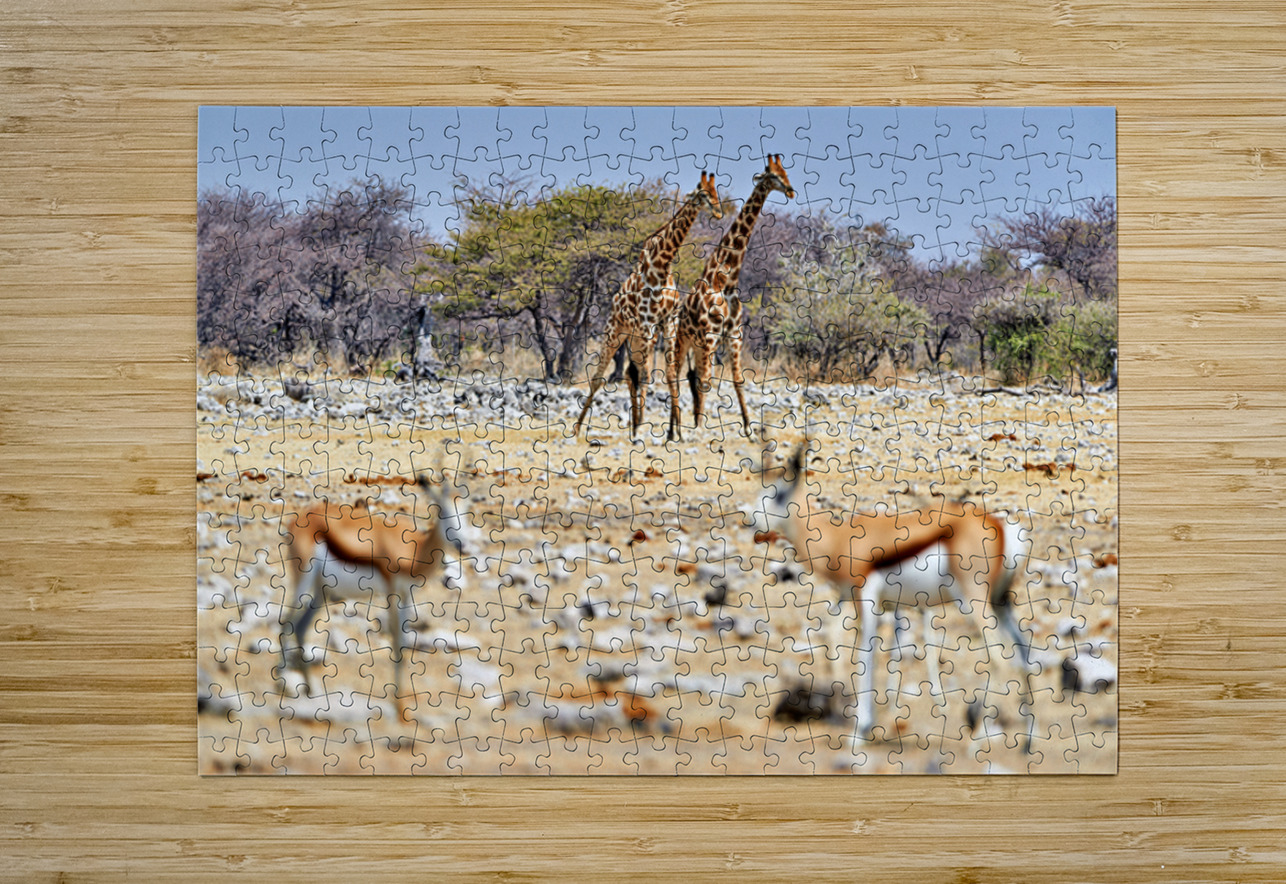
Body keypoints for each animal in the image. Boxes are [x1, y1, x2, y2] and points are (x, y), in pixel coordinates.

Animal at [572, 172, 723, 439]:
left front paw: (677, 431)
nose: (718, 212)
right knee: (600, 376)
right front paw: (645, 428)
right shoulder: (646, 323)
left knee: (631, 373)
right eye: (703, 193)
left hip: (636, 338)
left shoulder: (668, 321)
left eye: (717, 191)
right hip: (616, 332)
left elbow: (670, 374)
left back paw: (635, 422)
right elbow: (645, 376)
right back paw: (580, 428)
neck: (662, 265)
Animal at [667, 154, 795, 442]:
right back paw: (674, 430)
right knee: (676, 374)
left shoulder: (734, 334)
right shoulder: (711, 334)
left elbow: (737, 379)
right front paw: (699, 427)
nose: (791, 191)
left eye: (785, 171)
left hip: (699, 345)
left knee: (692, 375)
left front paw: (748, 427)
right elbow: (707, 380)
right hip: (684, 340)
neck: (725, 280)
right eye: (772, 175)